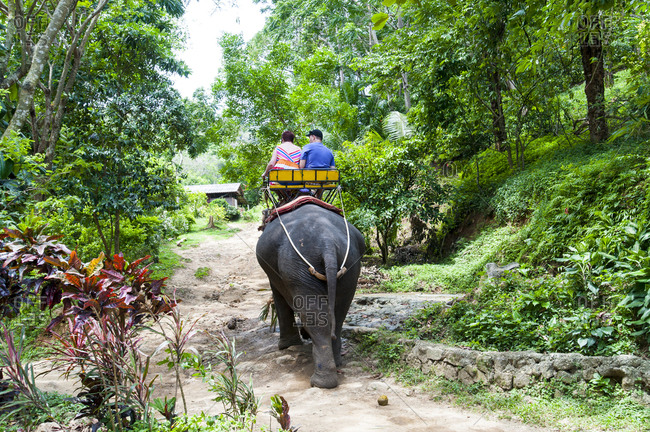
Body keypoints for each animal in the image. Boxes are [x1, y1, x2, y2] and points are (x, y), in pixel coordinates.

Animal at [256, 202, 365, 388]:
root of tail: (327, 241)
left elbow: (279, 298)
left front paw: (286, 346)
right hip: (350, 266)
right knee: (339, 312)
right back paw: (336, 363)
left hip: (297, 267)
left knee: (315, 316)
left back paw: (321, 381)